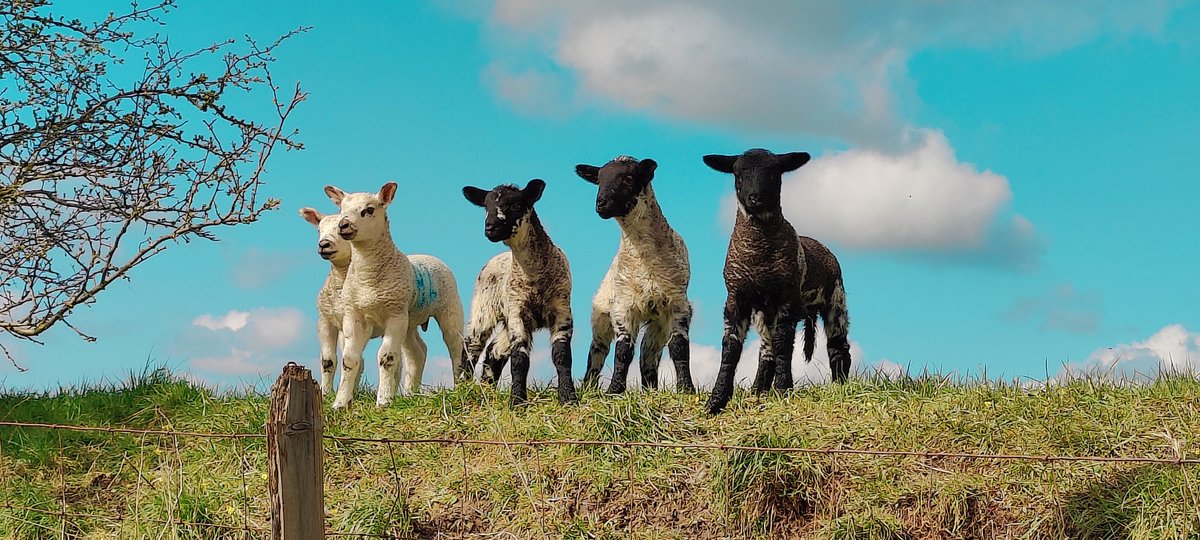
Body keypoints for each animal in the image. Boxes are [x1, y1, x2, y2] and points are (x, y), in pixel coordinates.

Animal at [321, 182, 466, 409]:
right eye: (341, 209)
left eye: (369, 210)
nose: (344, 225)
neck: (368, 278)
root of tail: (427, 255)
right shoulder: (354, 315)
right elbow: (349, 359)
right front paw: (340, 403)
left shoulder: (394, 314)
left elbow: (387, 358)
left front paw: (383, 401)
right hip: (409, 320)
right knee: (417, 352)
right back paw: (410, 394)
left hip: (448, 308)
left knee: (456, 347)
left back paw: (460, 386)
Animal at [460, 179, 578, 406]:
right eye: (485, 207)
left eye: (515, 205)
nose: (490, 227)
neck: (534, 276)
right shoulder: (517, 311)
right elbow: (519, 359)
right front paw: (517, 402)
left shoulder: (561, 308)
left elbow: (562, 356)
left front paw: (568, 397)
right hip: (483, 306)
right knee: (472, 345)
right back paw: (461, 388)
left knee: (494, 351)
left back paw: (487, 390)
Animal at [574, 155, 695, 394]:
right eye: (599, 180)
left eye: (629, 178)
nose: (600, 203)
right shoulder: (623, 306)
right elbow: (623, 351)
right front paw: (614, 391)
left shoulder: (677, 303)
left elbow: (679, 347)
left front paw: (687, 389)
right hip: (601, 316)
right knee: (597, 352)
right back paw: (588, 387)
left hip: (657, 323)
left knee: (648, 356)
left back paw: (651, 390)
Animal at [701, 149, 852, 414]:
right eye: (738, 174)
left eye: (774, 173)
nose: (755, 197)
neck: (758, 252)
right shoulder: (736, 297)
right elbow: (730, 347)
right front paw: (716, 401)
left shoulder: (787, 297)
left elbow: (784, 343)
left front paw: (783, 390)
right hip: (764, 313)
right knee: (766, 351)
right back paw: (758, 390)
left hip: (836, 298)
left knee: (838, 345)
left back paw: (840, 386)